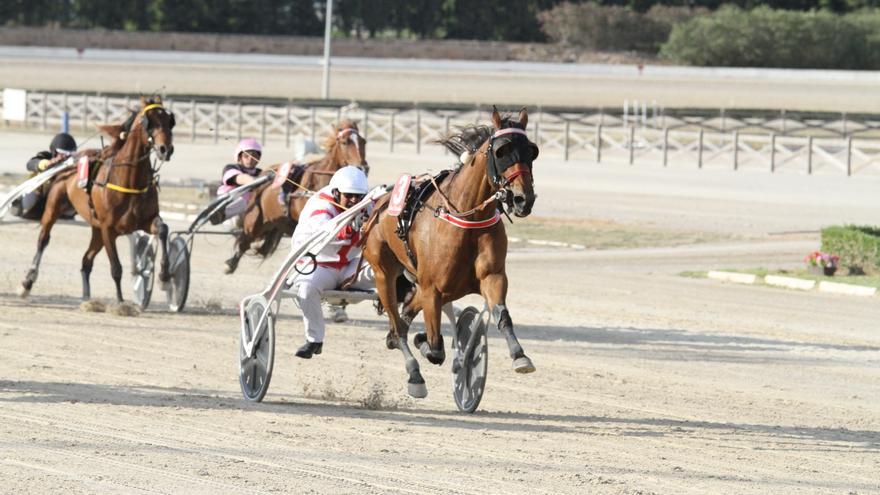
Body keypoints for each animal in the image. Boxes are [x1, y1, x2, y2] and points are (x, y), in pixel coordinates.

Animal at [20, 95, 175, 300]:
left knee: (86, 260)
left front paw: (164, 276)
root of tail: (69, 160)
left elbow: (163, 230)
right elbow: (116, 268)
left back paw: (87, 298)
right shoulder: (108, 229)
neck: (129, 181)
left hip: (96, 229)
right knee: (43, 239)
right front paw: (120, 301)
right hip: (55, 208)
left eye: (169, 120)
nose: (166, 149)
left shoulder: (145, 221)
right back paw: (28, 281)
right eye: (149, 121)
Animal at [225, 120, 370, 276]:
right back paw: (231, 263)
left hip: (277, 224)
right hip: (256, 223)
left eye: (363, 141)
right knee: (244, 241)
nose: (363, 167)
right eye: (344, 142)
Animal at [362, 108, 540, 400]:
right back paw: (414, 373)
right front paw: (427, 346)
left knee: (405, 313)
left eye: (532, 151)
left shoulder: (492, 277)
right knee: (398, 326)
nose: (523, 199)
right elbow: (435, 348)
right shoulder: (432, 288)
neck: (467, 216)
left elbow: (502, 316)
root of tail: (378, 205)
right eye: (502, 151)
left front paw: (520, 356)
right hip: (383, 273)